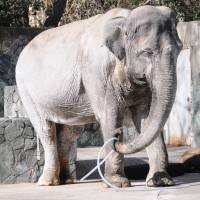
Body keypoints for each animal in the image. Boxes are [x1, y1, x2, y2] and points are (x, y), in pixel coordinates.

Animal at [15, 5, 182, 188]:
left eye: (179, 50)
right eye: (147, 52)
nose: (118, 138)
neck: (125, 20)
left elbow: (145, 117)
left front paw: (161, 181)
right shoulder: (97, 72)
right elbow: (110, 116)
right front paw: (118, 183)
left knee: (70, 133)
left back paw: (66, 181)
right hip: (26, 91)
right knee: (46, 130)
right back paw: (47, 183)